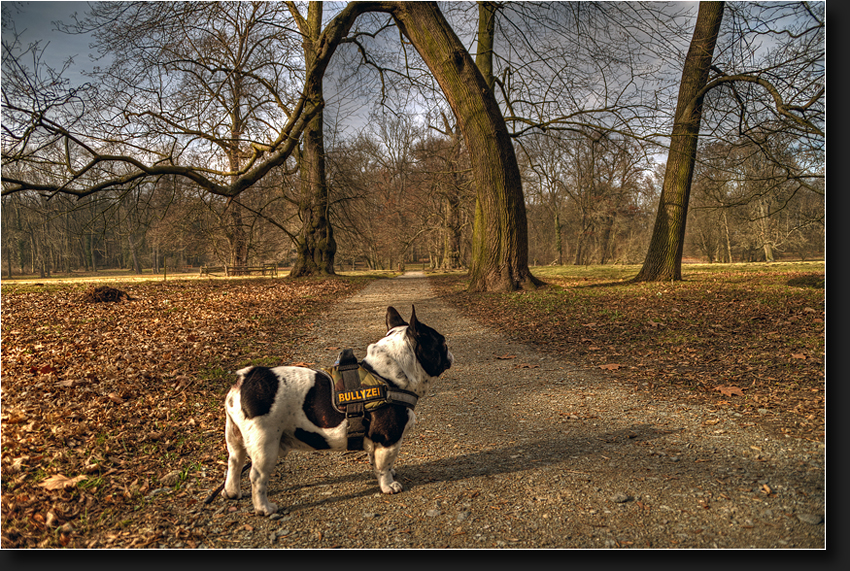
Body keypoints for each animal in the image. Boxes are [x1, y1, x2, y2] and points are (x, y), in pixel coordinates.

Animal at [222, 306, 454, 516]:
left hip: (235, 437)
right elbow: (384, 464)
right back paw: (264, 508)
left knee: (234, 462)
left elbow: (376, 460)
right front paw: (388, 485)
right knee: (257, 477)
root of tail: (246, 378)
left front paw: (383, 474)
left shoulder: (376, 440)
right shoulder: (389, 439)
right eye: (442, 343)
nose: (450, 352)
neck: (387, 377)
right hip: (265, 445)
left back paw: (232, 493)